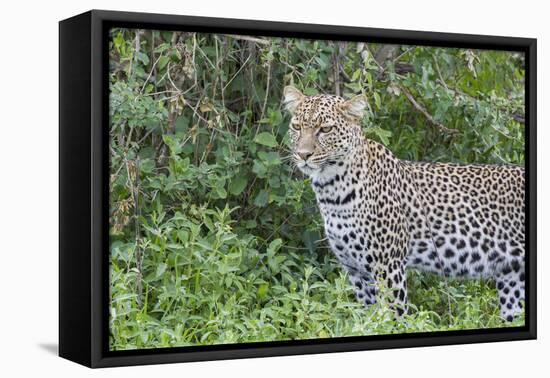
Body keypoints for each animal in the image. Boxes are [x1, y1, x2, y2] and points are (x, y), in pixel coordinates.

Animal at [284, 86, 528, 322]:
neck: (332, 190)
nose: (303, 155)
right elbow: (368, 321)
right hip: (513, 280)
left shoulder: (388, 266)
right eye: (296, 127)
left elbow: (392, 318)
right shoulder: (356, 271)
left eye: (325, 129)